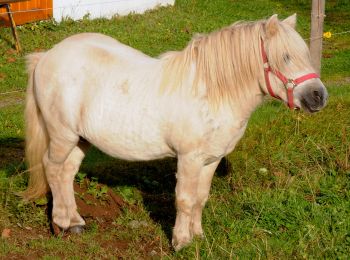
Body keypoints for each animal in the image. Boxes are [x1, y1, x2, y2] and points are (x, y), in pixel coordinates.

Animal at [23, 14, 326, 250]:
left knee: (66, 173)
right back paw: (60, 223)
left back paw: (75, 222)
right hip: (62, 135)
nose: (318, 96)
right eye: (285, 57)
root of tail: (46, 56)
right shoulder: (188, 158)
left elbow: (200, 198)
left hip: (80, 139)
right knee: (52, 168)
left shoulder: (210, 160)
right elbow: (185, 199)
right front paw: (181, 241)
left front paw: (199, 236)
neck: (211, 93)